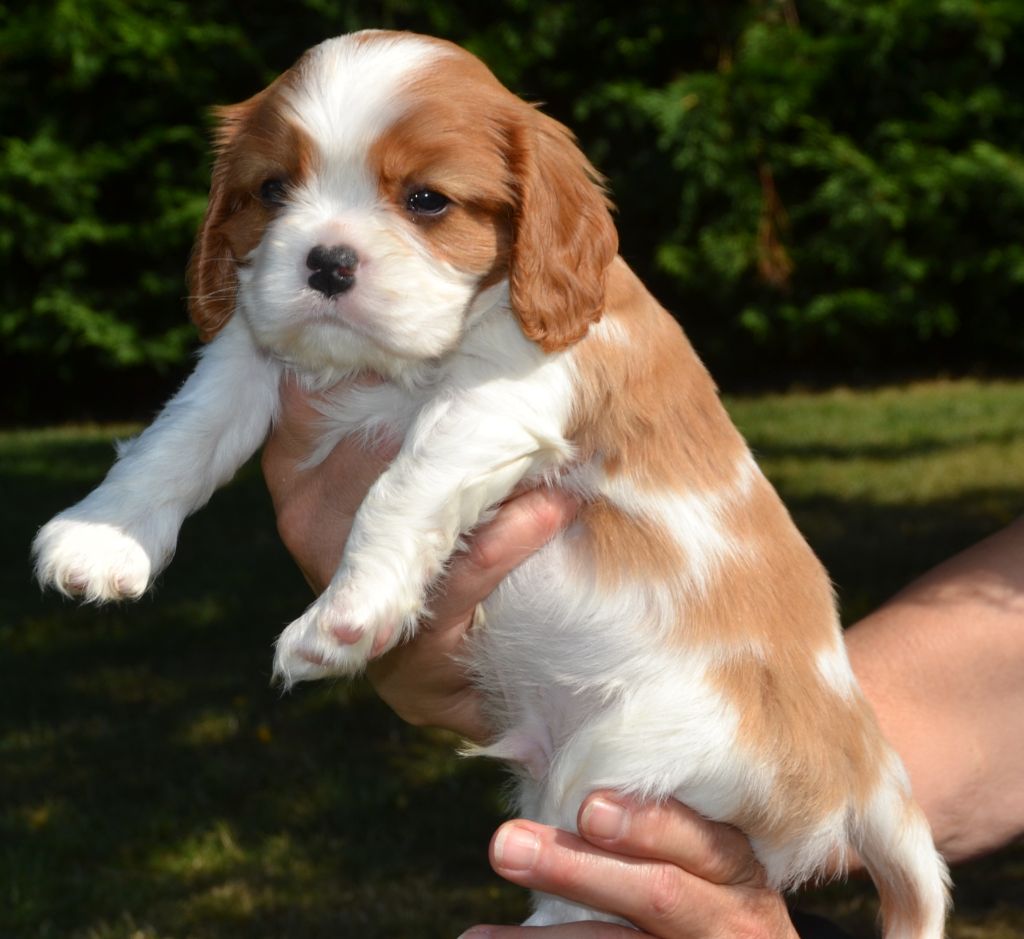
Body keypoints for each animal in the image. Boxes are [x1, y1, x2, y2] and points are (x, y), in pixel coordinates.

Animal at [37, 29, 950, 929]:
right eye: (272, 189)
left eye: (427, 201)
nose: (326, 261)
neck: (394, 366)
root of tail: (870, 769)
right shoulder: (251, 346)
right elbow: (178, 433)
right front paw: (99, 540)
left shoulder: (500, 399)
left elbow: (397, 489)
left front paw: (343, 616)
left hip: (628, 763)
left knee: (584, 888)